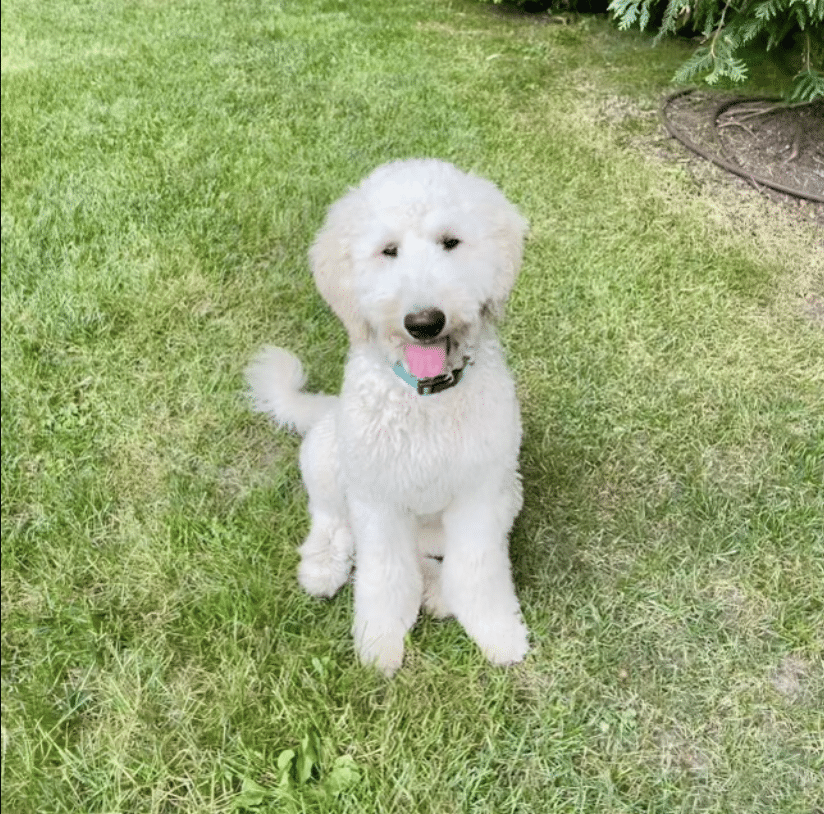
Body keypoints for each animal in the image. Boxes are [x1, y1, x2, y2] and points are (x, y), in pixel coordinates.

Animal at [245, 158, 528, 676]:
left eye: (450, 242)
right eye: (388, 251)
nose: (424, 322)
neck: (427, 399)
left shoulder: (479, 494)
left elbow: (477, 571)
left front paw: (498, 632)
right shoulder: (378, 501)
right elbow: (385, 575)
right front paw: (379, 641)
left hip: (507, 495)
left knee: (431, 558)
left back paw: (438, 593)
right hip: (326, 462)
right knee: (331, 521)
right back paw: (323, 566)